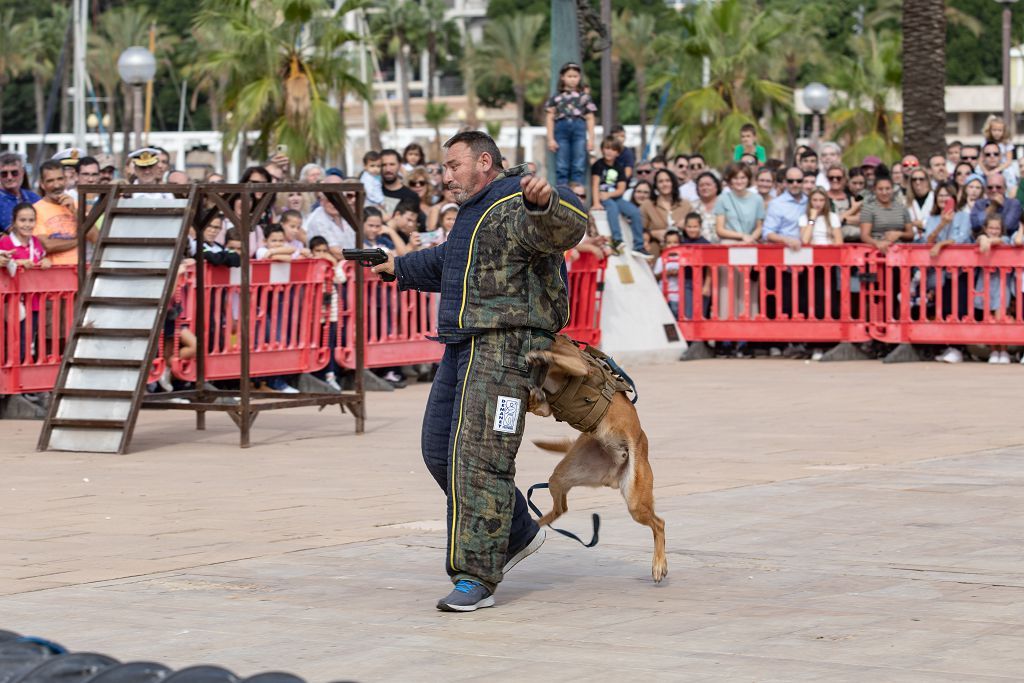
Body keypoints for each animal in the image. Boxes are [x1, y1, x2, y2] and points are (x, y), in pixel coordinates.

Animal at [524, 335, 667, 581]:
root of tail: (612, 474)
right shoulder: (546, 407)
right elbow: (539, 403)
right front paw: (534, 392)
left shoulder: (579, 366)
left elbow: (555, 358)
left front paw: (541, 355)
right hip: (561, 476)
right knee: (560, 509)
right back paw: (534, 526)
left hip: (635, 500)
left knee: (659, 524)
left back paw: (659, 564)